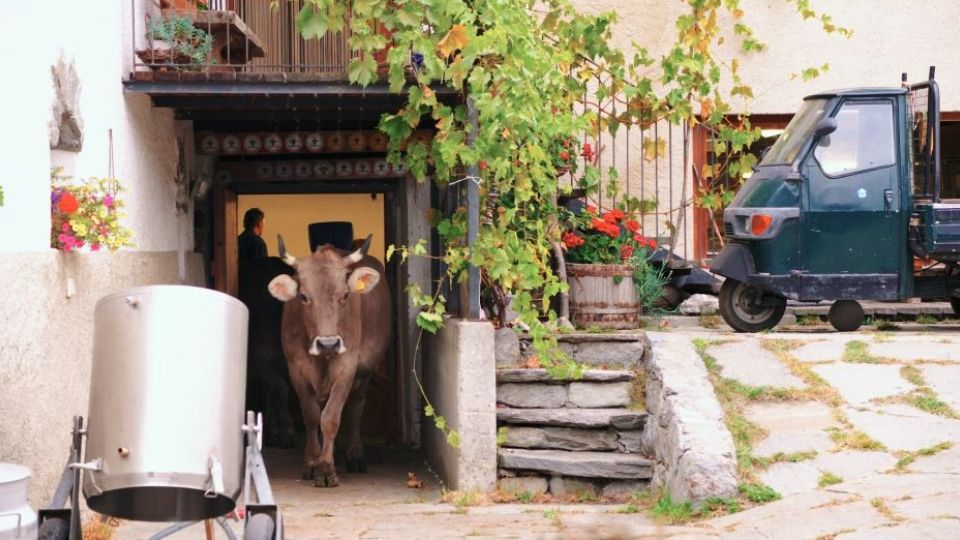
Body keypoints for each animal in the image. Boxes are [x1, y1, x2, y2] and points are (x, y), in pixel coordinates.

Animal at [266, 234, 390, 488]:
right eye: (303, 297)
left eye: (345, 295)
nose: (328, 343)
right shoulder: (297, 369)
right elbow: (312, 416)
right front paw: (312, 463)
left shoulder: (346, 368)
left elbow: (331, 418)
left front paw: (326, 468)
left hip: (365, 373)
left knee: (355, 406)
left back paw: (354, 455)